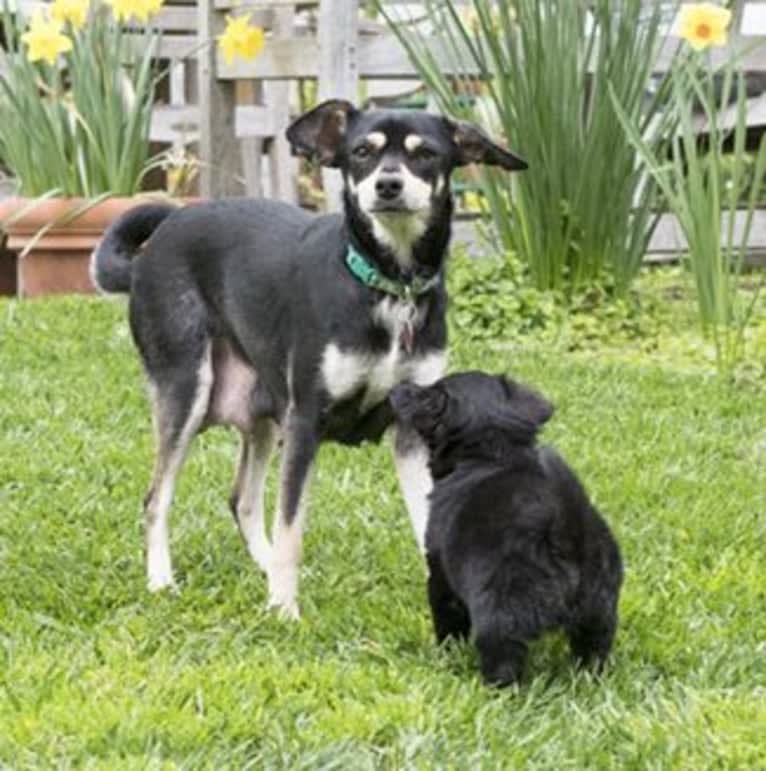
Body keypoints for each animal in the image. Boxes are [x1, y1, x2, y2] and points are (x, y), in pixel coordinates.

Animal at [91, 99, 528, 620]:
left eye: (425, 154)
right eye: (362, 152)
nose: (387, 185)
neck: (388, 287)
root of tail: (162, 234)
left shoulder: (412, 429)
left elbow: (425, 522)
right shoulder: (306, 421)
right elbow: (292, 525)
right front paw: (283, 609)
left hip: (263, 411)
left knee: (242, 499)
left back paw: (261, 568)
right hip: (187, 392)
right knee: (157, 498)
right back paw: (162, 580)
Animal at [390, 374, 624, 688]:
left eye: (428, 391)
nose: (398, 387)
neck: (494, 454)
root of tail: (568, 535)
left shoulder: (440, 576)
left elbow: (447, 622)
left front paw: (445, 654)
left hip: (501, 615)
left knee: (503, 657)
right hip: (600, 612)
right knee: (594, 651)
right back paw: (588, 678)